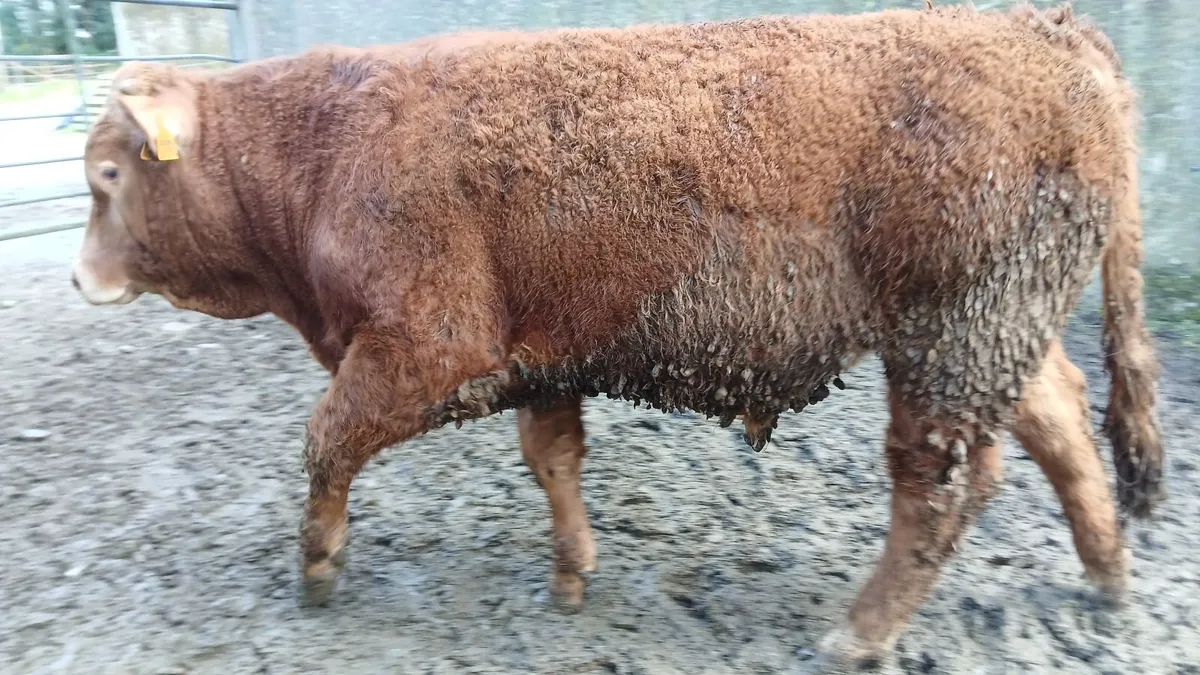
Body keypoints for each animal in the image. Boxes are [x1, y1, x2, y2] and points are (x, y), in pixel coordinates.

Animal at [71, 2, 1164, 667]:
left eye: (108, 175)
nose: (80, 276)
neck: (322, 148)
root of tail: (1045, 27)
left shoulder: (427, 345)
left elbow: (325, 441)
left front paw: (317, 567)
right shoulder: (542, 355)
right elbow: (554, 458)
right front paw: (570, 575)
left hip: (953, 336)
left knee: (940, 485)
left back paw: (859, 634)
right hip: (1001, 333)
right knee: (1064, 426)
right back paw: (1109, 578)